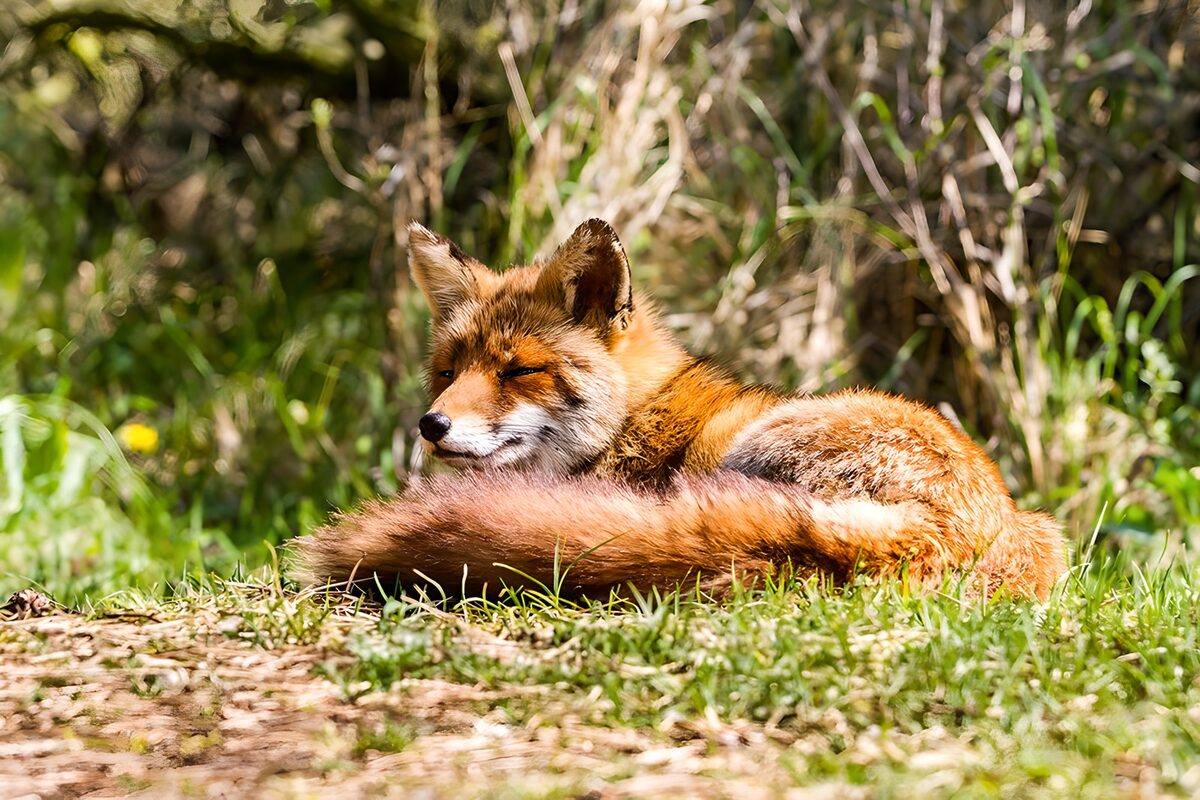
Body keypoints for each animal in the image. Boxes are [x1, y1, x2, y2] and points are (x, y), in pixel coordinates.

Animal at [293, 219, 1066, 600]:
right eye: (449, 373)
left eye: (520, 371)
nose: (433, 426)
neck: (632, 422)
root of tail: (953, 530)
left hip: (760, 447)